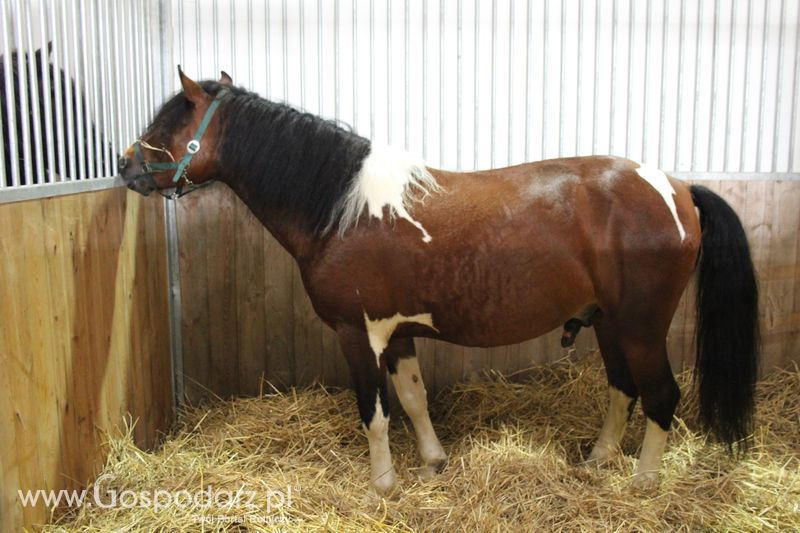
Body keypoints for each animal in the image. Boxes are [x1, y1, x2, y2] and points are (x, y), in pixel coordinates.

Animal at [119, 69, 756, 494]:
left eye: (169, 121)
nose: (125, 166)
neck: (342, 208)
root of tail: (676, 187)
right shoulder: (398, 331)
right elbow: (413, 398)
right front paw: (432, 462)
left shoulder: (357, 334)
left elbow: (374, 411)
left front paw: (384, 485)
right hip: (609, 324)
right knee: (623, 389)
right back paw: (598, 460)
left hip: (642, 327)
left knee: (662, 396)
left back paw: (643, 484)